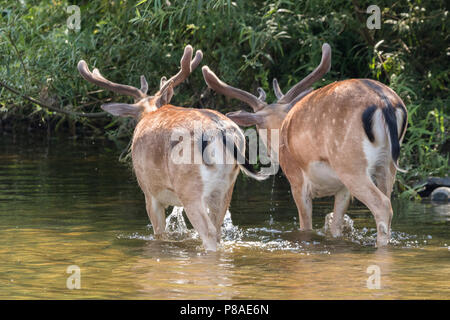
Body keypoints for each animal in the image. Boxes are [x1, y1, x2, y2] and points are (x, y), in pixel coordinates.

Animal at [77, 45, 268, 251]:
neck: (150, 111)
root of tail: (220, 130)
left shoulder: (149, 192)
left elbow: (159, 234)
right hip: (226, 187)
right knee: (217, 231)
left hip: (189, 188)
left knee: (208, 232)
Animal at [202, 43, 410, 246]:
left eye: (258, 126)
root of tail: (384, 102)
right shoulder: (342, 189)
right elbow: (335, 227)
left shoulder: (297, 180)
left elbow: (306, 227)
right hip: (386, 165)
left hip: (350, 163)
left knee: (383, 205)